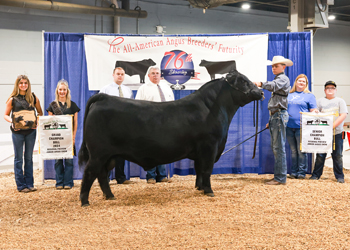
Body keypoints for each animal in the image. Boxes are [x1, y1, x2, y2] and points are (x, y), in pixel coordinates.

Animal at [78, 69, 264, 206]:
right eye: (244, 81)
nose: (261, 92)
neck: (213, 108)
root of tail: (103, 97)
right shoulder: (210, 146)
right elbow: (207, 170)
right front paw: (209, 191)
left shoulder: (201, 152)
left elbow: (199, 170)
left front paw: (199, 188)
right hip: (98, 153)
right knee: (90, 172)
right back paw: (85, 201)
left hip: (109, 156)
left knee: (102, 175)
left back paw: (110, 196)